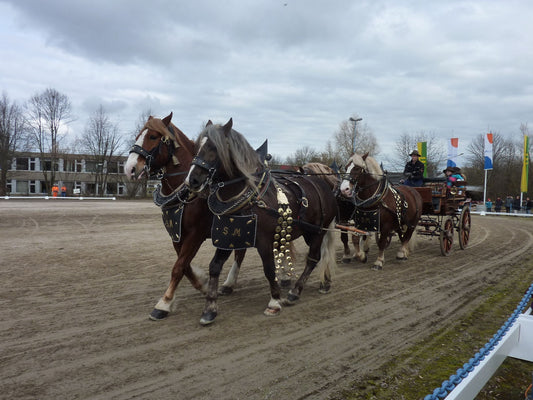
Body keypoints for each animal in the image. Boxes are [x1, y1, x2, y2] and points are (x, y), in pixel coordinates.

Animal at [123, 114, 245, 320]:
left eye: (153, 136)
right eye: (138, 135)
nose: (129, 168)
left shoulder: (195, 234)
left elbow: (178, 267)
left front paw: (164, 303)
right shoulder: (176, 234)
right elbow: (184, 265)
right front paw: (203, 284)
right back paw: (228, 284)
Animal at [185, 119, 336, 324]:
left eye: (214, 148)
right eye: (197, 147)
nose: (191, 180)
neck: (250, 198)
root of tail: (323, 184)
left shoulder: (264, 240)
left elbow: (269, 268)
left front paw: (274, 301)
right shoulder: (228, 236)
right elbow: (214, 267)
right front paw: (210, 308)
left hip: (318, 230)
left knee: (313, 258)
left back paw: (295, 291)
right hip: (309, 231)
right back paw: (324, 282)